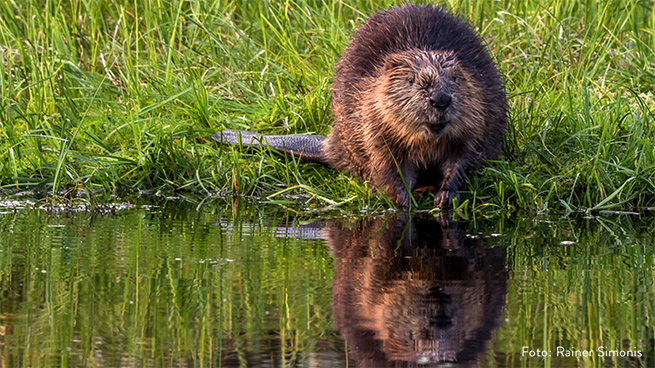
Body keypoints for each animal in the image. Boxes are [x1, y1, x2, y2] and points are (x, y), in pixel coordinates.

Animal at [213, 4, 510, 208]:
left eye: (456, 79)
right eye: (413, 81)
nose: (441, 100)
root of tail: (328, 145)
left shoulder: (478, 115)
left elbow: (463, 156)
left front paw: (445, 196)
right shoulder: (372, 120)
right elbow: (386, 162)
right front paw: (403, 200)